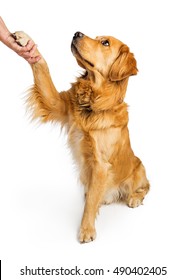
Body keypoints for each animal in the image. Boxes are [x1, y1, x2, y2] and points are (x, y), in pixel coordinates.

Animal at [13, 30, 150, 243]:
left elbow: (91, 202)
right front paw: (25, 40)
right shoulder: (56, 103)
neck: (94, 102)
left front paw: (86, 230)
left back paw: (134, 198)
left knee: (146, 186)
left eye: (105, 43)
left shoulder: (100, 164)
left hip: (137, 170)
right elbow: (42, 67)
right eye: (97, 37)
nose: (76, 33)